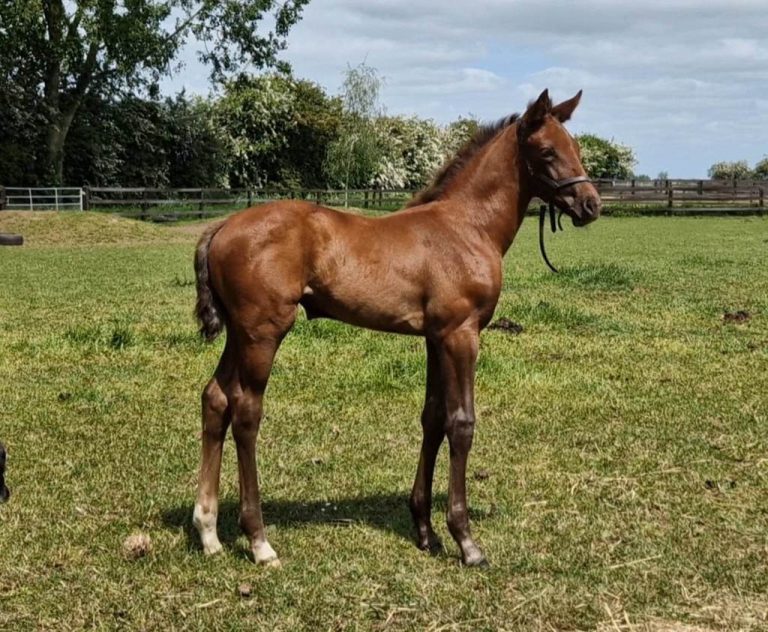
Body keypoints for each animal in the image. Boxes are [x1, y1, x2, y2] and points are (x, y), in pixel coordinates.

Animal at [191, 89, 602, 567]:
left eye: (577, 148)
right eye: (547, 151)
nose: (591, 205)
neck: (466, 227)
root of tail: (221, 226)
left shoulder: (436, 338)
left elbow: (433, 418)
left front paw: (425, 530)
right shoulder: (462, 334)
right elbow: (462, 423)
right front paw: (466, 540)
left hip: (239, 334)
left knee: (215, 399)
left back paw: (208, 532)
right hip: (263, 332)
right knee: (246, 411)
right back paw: (258, 540)